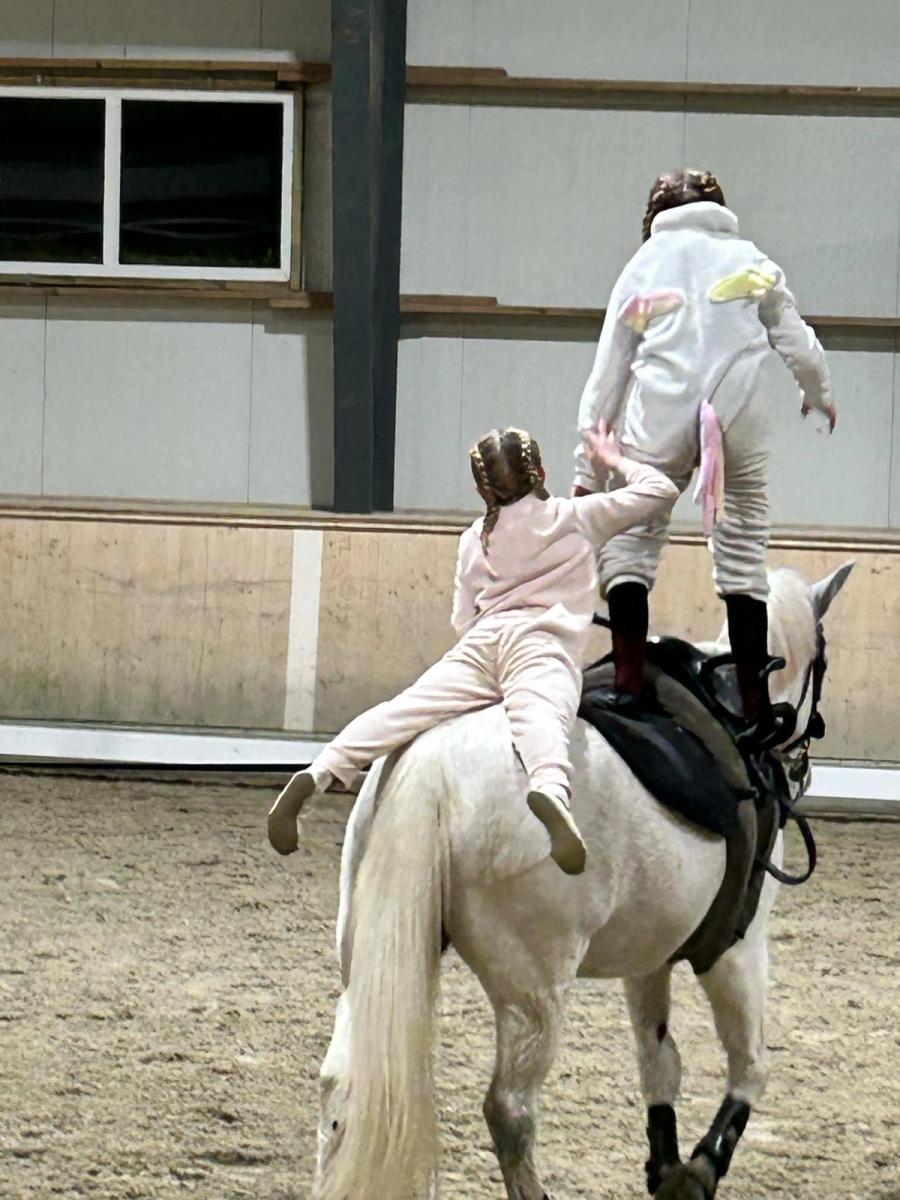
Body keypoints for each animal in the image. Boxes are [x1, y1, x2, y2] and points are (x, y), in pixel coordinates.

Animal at [313, 562, 853, 1200]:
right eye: (824, 658)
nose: (803, 762)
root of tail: (434, 760)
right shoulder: (734, 950)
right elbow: (750, 1066)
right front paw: (700, 1168)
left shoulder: (649, 958)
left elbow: (659, 1061)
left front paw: (665, 1165)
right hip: (534, 986)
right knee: (510, 1108)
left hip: (365, 955)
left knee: (340, 1086)